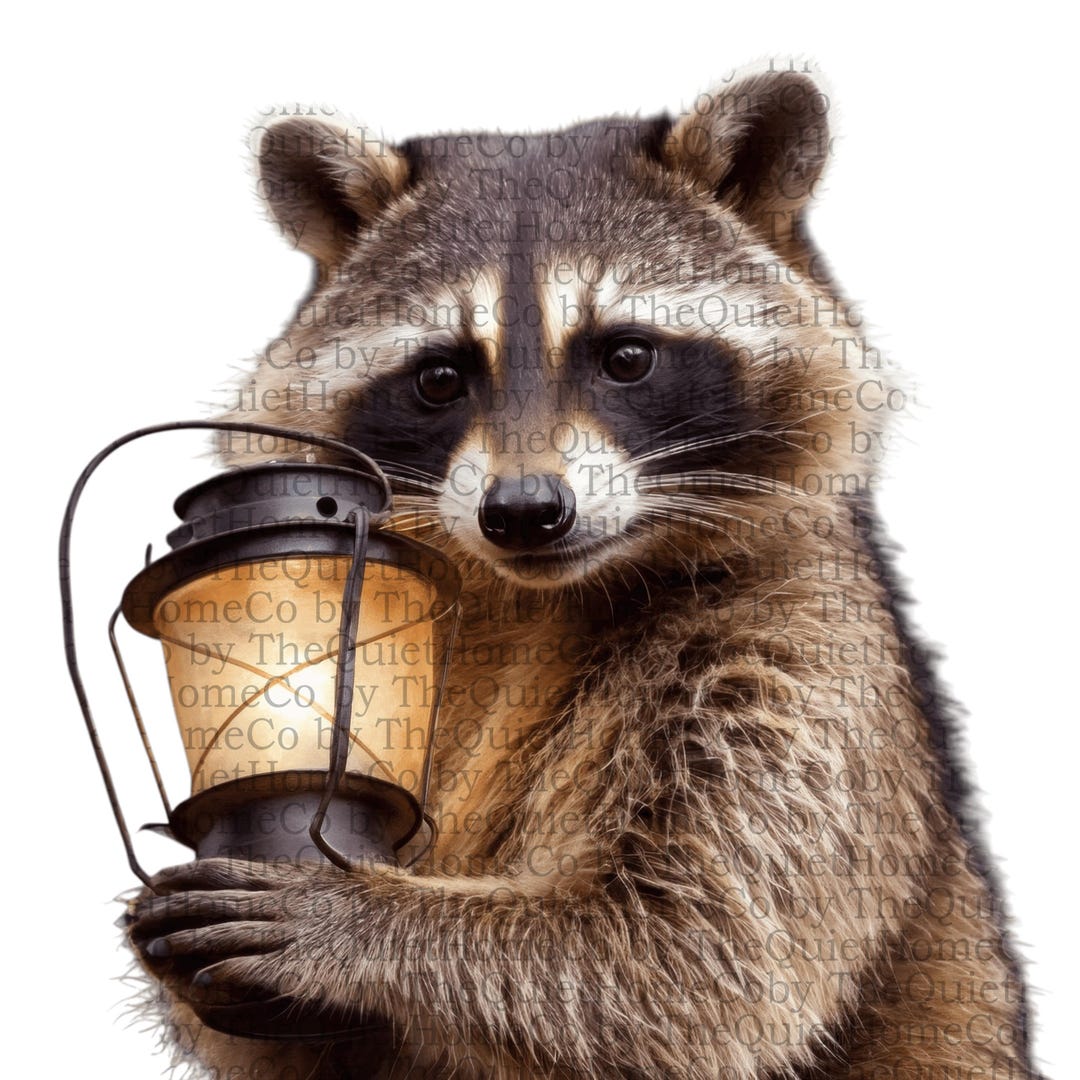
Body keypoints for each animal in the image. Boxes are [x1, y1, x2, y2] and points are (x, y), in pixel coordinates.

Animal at [128, 67, 1039, 1079]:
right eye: (439, 377)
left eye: (627, 356)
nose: (525, 511)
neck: (533, 595)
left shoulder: (805, 648)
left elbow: (682, 958)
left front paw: (362, 922)